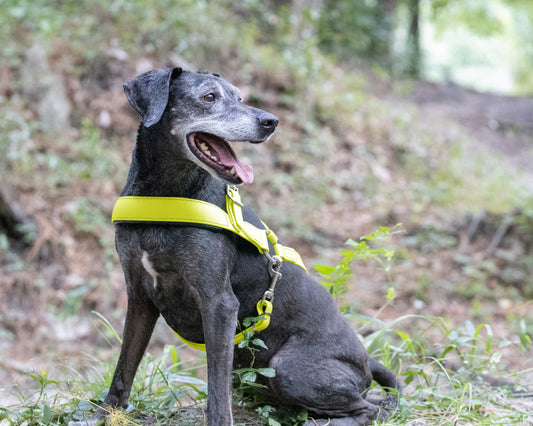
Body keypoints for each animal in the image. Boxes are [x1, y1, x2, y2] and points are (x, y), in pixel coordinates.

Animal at [71, 67, 400, 426]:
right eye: (209, 97)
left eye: (240, 97)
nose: (271, 121)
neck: (165, 195)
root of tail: (367, 361)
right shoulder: (140, 296)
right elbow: (124, 367)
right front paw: (104, 414)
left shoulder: (218, 303)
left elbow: (217, 388)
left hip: (288, 367)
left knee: (372, 409)